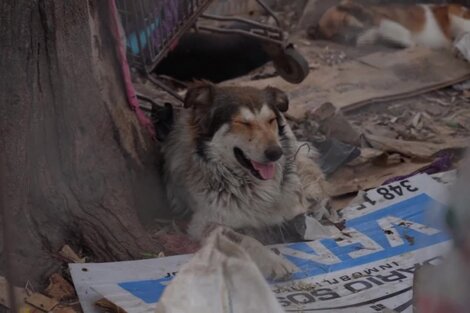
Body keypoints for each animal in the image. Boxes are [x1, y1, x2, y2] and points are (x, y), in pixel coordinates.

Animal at [160, 83, 324, 278]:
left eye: (271, 120)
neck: (250, 184)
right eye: (243, 123)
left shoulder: (294, 208)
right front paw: (273, 261)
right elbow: (243, 238)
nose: (276, 153)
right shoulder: (203, 224)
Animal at [310, 0, 470, 49]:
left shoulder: (384, 21)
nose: (351, 38)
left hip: (457, 19)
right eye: (337, 36)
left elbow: (382, 29)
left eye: (345, 20)